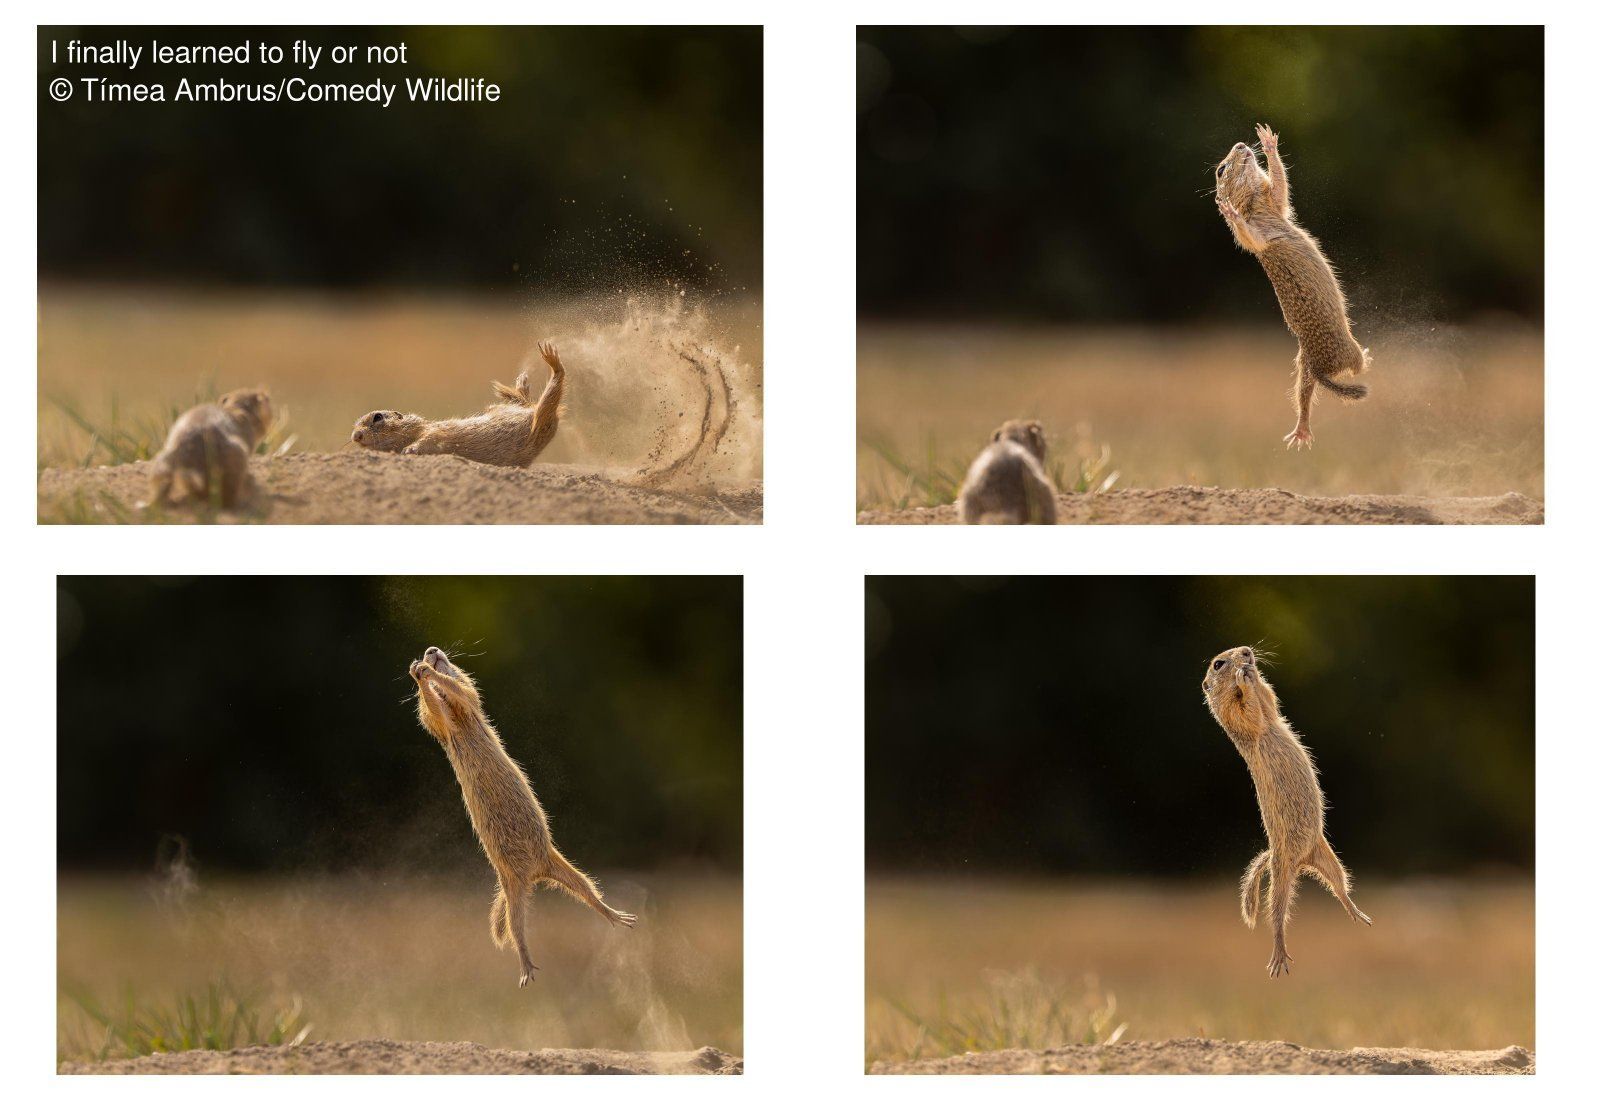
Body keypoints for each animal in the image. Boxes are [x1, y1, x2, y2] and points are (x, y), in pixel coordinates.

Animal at [352, 342, 569, 466]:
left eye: (377, 417)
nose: (355, 436)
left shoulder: (432, 431)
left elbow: (431, 436)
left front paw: (410, 449)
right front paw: (409, 450)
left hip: (539, 419)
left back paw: (544, 365)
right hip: (541, 418)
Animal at [406, 645, 636, 991]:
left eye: (444, 654)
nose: (431, 650)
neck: (454, 719)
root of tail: (534, 875)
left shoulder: (466, 701)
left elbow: (461, 688)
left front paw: (426, 672)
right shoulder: (440, 720)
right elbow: (432, 707)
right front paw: (419, 671)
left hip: (562, 868)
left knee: (586, 891)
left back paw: (616, 916)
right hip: (514, 891)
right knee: (517, 931)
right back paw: (526, 967)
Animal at [1203, 645, 1369, 978]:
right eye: (1218, 664)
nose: (1247, 651)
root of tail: (1302, 861)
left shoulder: (1272, 709)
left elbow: (1270, 699)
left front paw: (1253, 674)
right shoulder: (1239, 719)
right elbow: (1248, 712)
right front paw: (1242, 677)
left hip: (1328, 856)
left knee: (1338, 886)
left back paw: (1357, 913)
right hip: (1280, 878)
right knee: (1277, 916)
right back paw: (1278, 955)